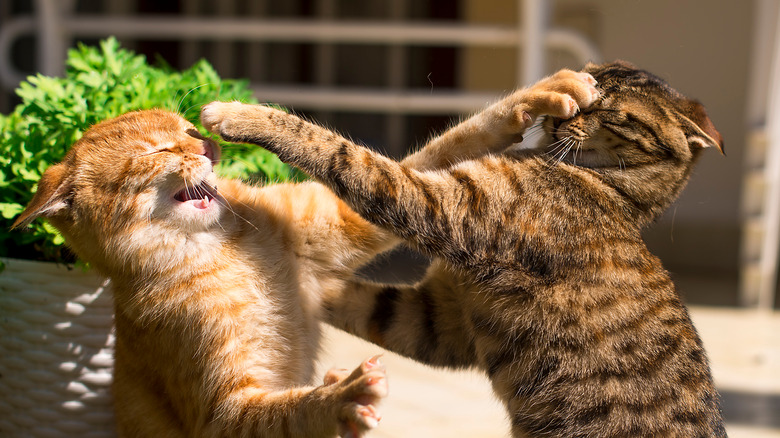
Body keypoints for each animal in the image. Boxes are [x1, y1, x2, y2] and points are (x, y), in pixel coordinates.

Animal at [13, 67, 596, 434]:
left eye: (188, 128)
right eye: (159, 149)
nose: (208, 146)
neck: (226, 248)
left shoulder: (341, 215)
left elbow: (447, 145)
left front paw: (541, 94)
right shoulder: (224, 412)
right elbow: (287, 412)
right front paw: (339, 399)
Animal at [204, 62, 728, 438]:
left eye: (614, 114)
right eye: (585, 90)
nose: (564, 117)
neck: (614, 192)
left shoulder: (440, 205)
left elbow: (341, 152)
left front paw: (239, 114)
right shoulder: (440, 318)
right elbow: (356, 298)